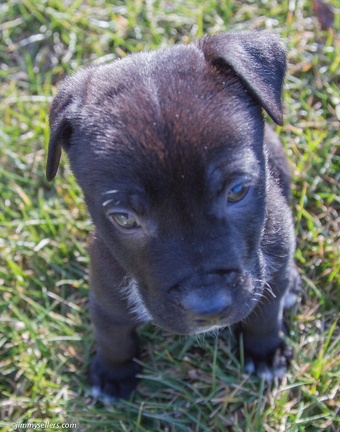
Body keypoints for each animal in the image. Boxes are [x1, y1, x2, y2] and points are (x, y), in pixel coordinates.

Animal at [45, 31, 300, 402]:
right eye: (124, 219)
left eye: (237, 191)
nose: (208, 307)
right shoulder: (106, 295)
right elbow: (113, 335)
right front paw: (112, 374)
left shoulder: (271, 270)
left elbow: (265, 315)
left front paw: (266, 352)